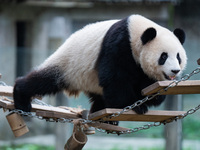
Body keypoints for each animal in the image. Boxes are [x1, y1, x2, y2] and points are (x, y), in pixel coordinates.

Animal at [13, 14, 187, 114]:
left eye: (178, 57)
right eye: (163, 56)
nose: (175, 71)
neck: (136, 31)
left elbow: (144, 83)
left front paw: (150, 97)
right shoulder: (119, 44)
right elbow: (115, 78)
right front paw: (135, 106)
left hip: (90, 79)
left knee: (101, 95)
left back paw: (101, 112)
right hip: (67, 64)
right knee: (42, 81)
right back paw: (21, 98)